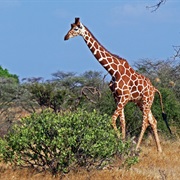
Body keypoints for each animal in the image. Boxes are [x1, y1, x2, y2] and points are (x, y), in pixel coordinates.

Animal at [64, 17, 171, 152]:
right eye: (71, 26)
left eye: (76, 28)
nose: (66, 37)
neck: (113, 70)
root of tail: (154, 89)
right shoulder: (117, 97)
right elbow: (122, 121)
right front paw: (122, 143)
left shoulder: (124, 97)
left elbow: (113, 119)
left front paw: (121, 143)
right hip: (141, 102)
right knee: (153, 121)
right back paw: (159, 151)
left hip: (147, 101)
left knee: (145, 121)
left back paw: (137, 148)